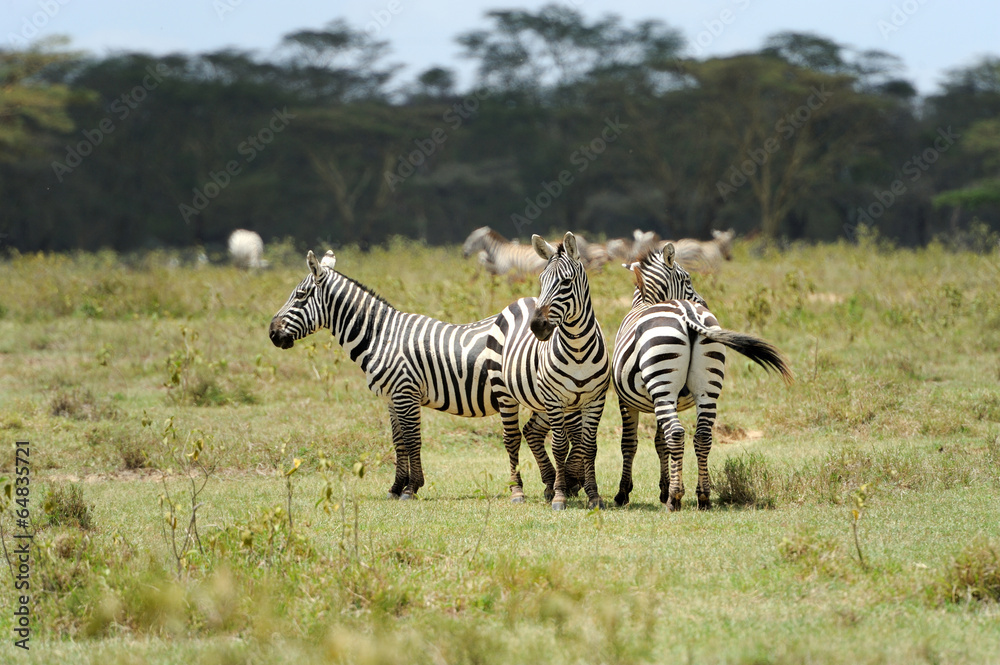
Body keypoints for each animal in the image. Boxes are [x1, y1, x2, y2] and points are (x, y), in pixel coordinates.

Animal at [269, 249, 555, 500]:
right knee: (536, 430)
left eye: (300, 295)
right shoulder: (391, 398)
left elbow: (412, 440)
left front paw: (411, 488)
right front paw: (396, 487)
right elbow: (398, 442)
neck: (381, 336)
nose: (272, 333)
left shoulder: (405, 392)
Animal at [493, 231, 611, 510]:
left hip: (542, 401)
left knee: (531, 431)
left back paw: (548, 482)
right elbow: (559, 445)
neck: (578, 350)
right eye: (541, 280)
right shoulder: (556, 399)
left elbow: (588, 446)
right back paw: (518, 491)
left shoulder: (594, 400)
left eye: (566, 282)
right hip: (507, 393)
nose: (537, 326)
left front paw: (592, 495)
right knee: (512, 438)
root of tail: (521, 300)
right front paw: (560, 494)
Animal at [612, 243, 792, 510]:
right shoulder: (657, 400)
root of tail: (686, 310)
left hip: (663, 385)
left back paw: (675, 498)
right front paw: (663, 488)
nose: (705, 301)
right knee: (702, 436)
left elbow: (630, 444)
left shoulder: (626, 400)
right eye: (687, 279)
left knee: (676, 433)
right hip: (706, 387)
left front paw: (624, 494)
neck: (646, 302)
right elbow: (659, 443)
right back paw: (703, 496)